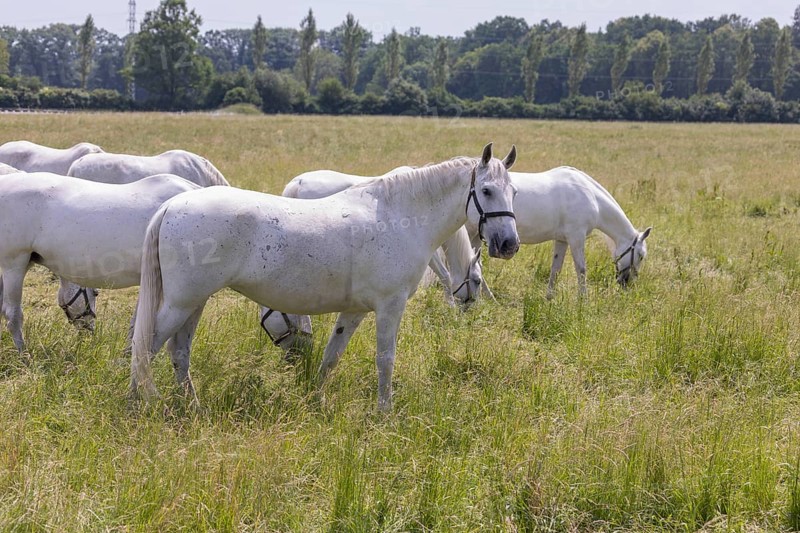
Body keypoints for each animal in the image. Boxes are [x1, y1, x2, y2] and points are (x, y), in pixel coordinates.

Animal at [130, 143, 519, 411]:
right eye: (486, 191)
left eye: (513, 192)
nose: (508, 244)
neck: (399, 215)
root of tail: (172, 206)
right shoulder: (389, 306)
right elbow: (386, 359)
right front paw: (385, 412)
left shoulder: (355, 311)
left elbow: (332, 355)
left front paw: (315, 400)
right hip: (181, 303)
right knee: (145, 347)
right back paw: (140, 404)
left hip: (193, 303)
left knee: (178, 351)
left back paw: (191, 405)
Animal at [465, 166, 651, 298]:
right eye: (641, 256)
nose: (628, 283)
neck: (590, 195)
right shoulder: (576, 238)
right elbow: (581, 269)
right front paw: (583, 301)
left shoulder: (562, 240)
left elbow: (556, 269)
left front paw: (549, 298)